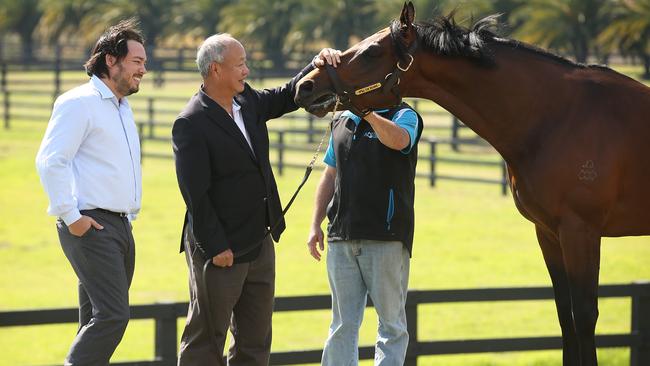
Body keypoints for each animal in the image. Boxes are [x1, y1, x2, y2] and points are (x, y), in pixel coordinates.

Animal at [294, 1, 648, 364]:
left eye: (371, 52)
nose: (305, 86)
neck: (559, 116)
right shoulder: (549, 233)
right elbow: (566, 316)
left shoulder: (581, 231)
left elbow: (585, 316)